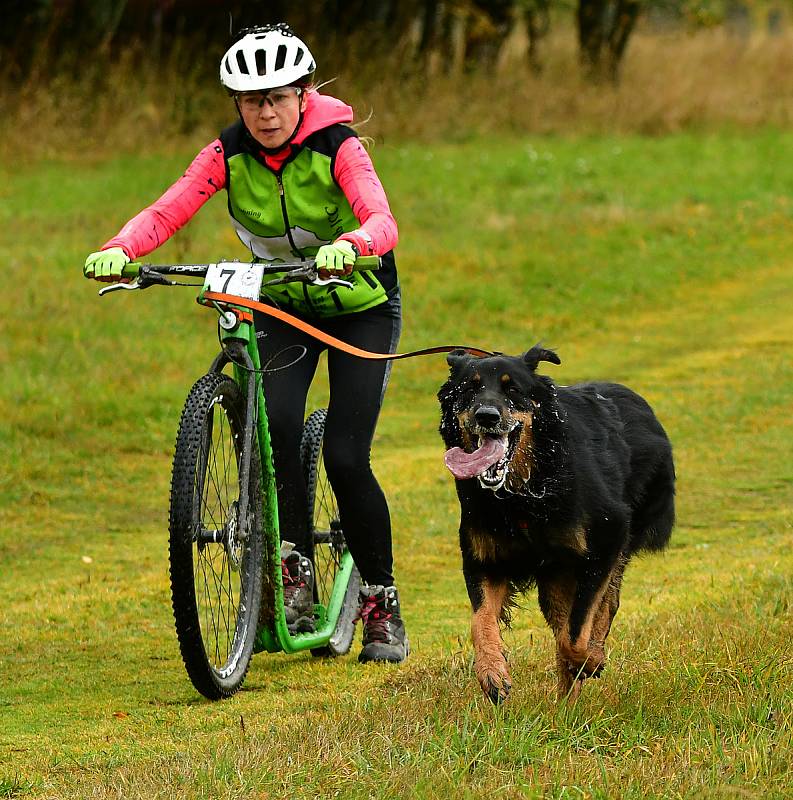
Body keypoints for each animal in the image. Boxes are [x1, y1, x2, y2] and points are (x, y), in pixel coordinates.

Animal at [440, 344, 676, 700]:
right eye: (470, 389)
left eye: (513, 389)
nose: (487, 416)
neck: (524, 492)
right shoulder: (484, 560)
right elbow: (481, 621)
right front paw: (492, 672)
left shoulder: (607, 537)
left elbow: (577, 629)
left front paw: (591, 658)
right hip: (555, 577)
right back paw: (566, 701)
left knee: (605, 603)